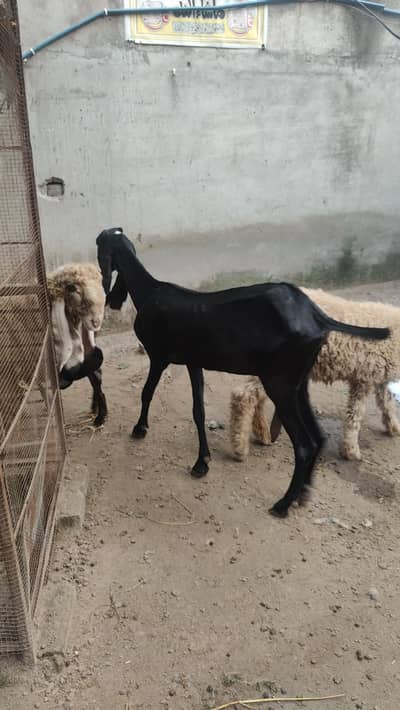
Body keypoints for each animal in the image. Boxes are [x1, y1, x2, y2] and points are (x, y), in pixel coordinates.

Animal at [96, 228, 390, 517]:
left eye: (99, 245)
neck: (149, 291)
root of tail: (317, 315)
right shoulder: (194, 362)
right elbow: (198, 410)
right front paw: (202, 462)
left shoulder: (158, 356)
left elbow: (146, 392)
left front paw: (139, 429)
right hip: (297, 384)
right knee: (318, 438)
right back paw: (303, 495)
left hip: (279, 383)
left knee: (305, 445)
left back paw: (283, 505)